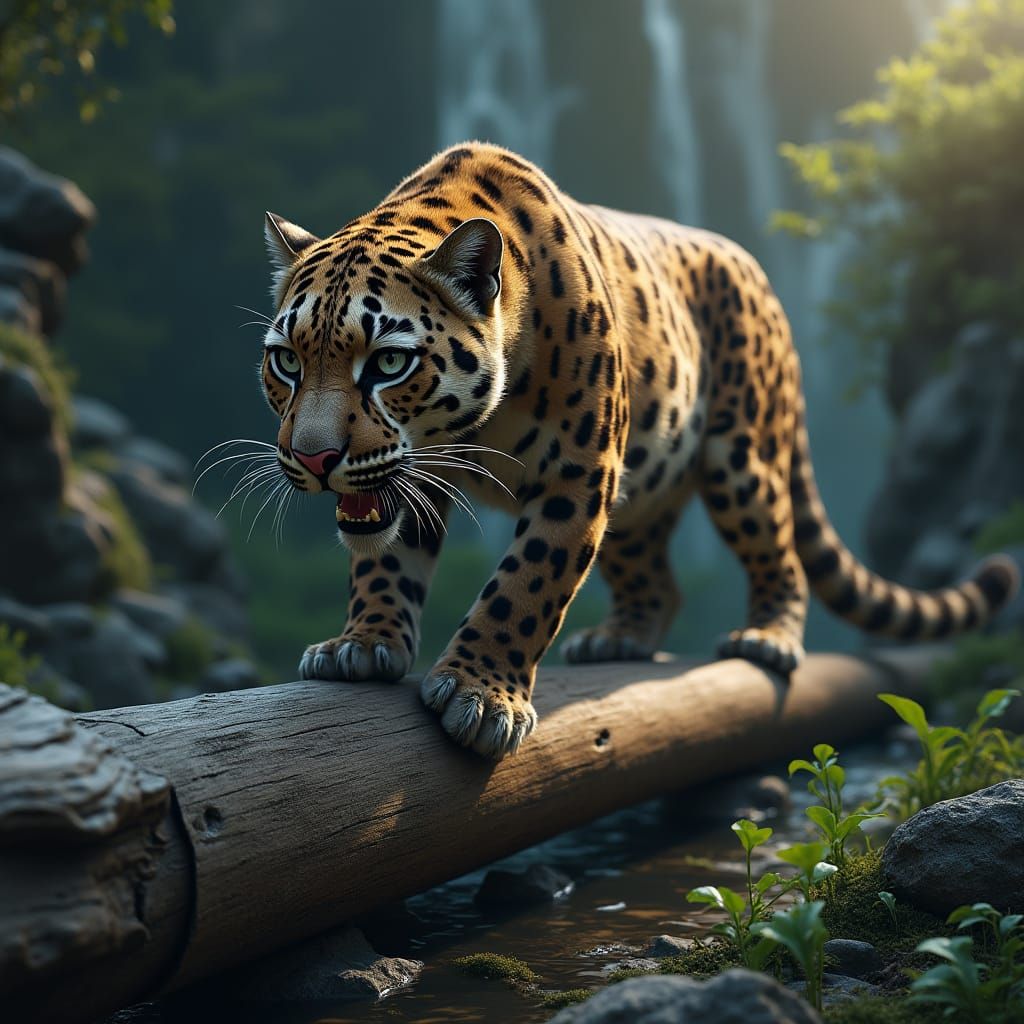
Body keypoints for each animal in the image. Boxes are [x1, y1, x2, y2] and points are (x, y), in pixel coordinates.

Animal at [258, 141, 1019, 759]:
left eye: (389, 363)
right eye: (287, 361)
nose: (316, 458)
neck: (474, 427)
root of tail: (759, 276)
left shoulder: (577, 472)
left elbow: (526, 585)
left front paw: (480, 698)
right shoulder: (417, 480)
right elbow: (385, 562)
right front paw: (364, 643)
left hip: (739, 461)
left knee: (779, 551)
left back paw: (767, 637)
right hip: (639, 485)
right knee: (660, 580)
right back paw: (618, 637)